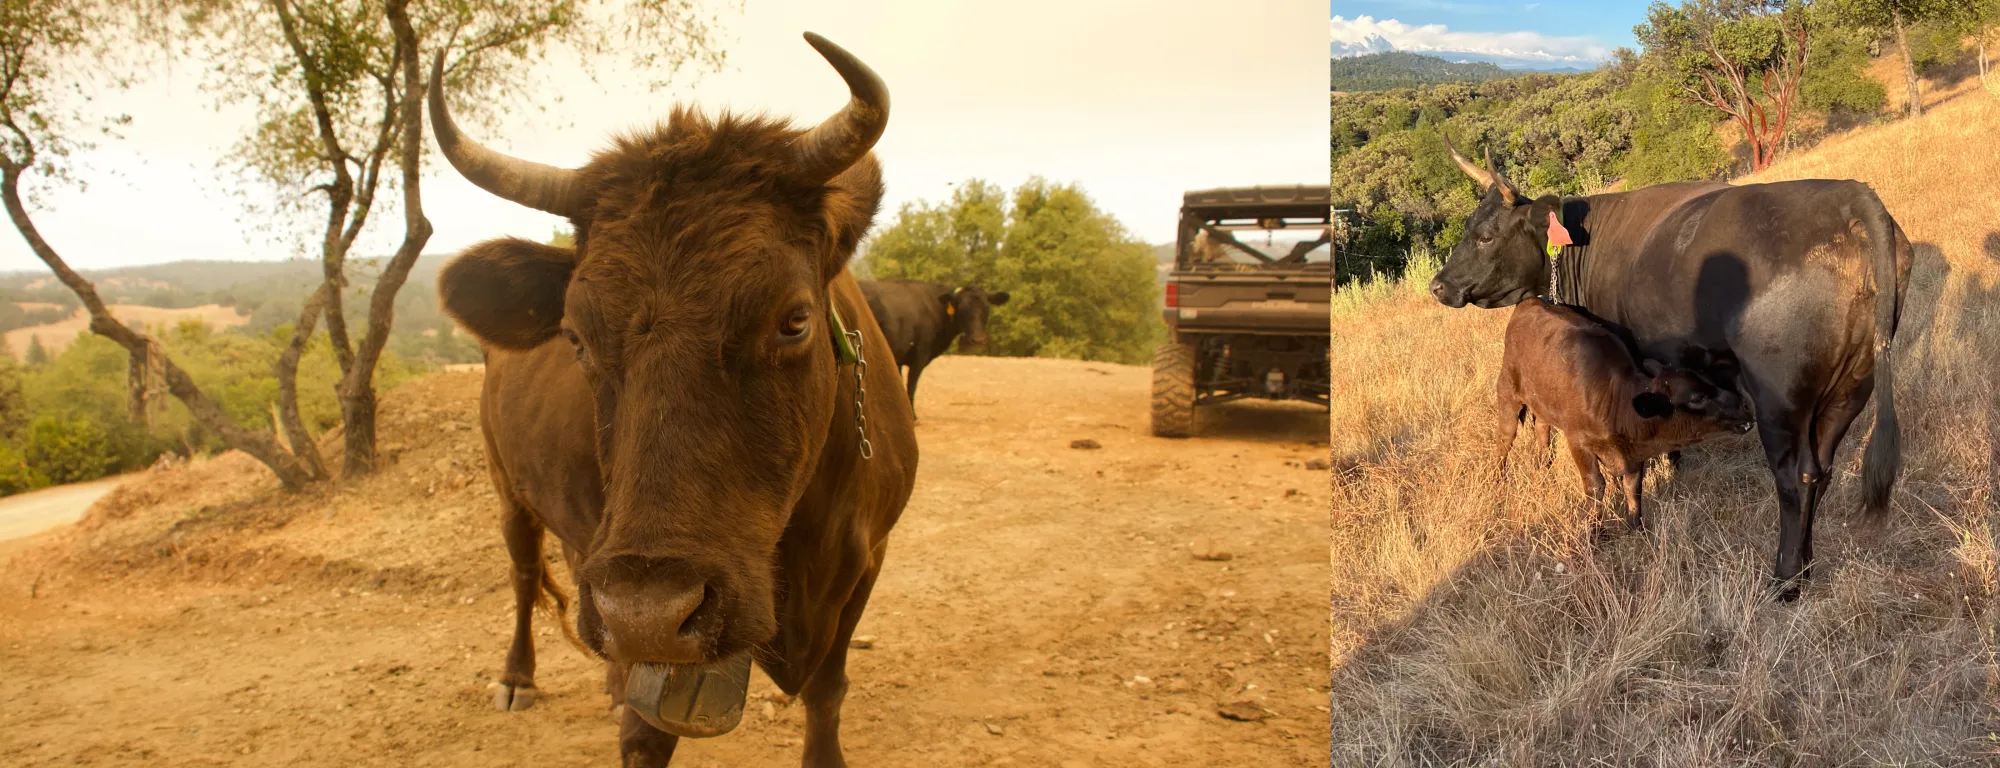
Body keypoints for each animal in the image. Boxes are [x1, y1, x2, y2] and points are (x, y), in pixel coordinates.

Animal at [428, 34, 918, 767]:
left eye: (794, 318)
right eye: (575, 337)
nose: (646, 612)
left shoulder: (866, 562)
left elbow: (828, 693)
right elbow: (645, 731)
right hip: (509, 489)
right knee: (523, 573)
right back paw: (518, 677)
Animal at [1493, 298, 1755, 531]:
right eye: (1697, 398)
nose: (1744, 406)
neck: (1615, 399)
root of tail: (1529, 302)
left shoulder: (1634, 456)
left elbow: (1633, 487)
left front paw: (1636, 528)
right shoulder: (1578, 441)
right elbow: (1595, 486)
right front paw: (1595, 531)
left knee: (1542, 428)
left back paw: (1544, 466)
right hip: (1508, 394)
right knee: (1504, 440)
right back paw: (1499, 480)